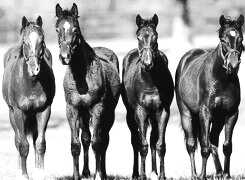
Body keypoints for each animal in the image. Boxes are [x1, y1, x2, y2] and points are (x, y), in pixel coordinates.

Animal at [1, 15, 55, 179]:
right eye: (25, 42)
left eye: (42, 41)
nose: (34, 69)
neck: (31, 83)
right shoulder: (19, 112)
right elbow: (23, 145)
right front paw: (24, 174)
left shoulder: (44, 111)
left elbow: (40, 143)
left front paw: (40, 173)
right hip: (12, 114)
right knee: (18, 140)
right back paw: (19, 170)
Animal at [55, 3, 121, 180]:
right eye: (57, 29)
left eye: (75, 29)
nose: (65, 56)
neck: (81, 78)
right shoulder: (72, 109)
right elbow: (76, 144)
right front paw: (77, 175)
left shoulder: (98, 109)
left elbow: (97, 143)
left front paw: (98, 175)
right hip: (84, 115)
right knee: (86, 138)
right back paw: (86, 172)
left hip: (108, 114)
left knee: (104, 140)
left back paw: (102, 172)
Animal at [121, 14, 174, 180]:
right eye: (138, 37)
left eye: (155, 37)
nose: (147, 63)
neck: (150, 81)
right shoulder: (140, 112)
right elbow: (142, 145)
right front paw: (142, 175)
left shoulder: (163, 111)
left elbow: (160, 145)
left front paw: (161, 175)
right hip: (130, 115)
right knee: (135, 140)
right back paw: (136, 173)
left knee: (152, 139)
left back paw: (154, 172)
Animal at [175, 14, 244, 179]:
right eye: (223, 40)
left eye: (240, 39)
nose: (233, 65)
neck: (222, 80)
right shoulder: (205, 113)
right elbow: (204, 147)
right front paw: (202, 176)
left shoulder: (231, 113)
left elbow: (227, 146)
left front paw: (226, 174)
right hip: (186, 113)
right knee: (192, 144)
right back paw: (195, 174)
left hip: (218, 119)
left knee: (213, 141)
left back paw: (219, 172)